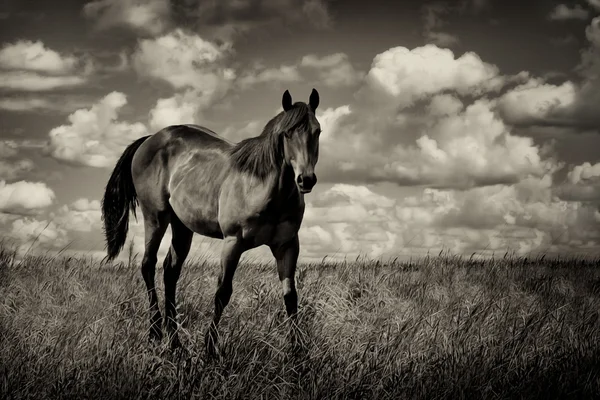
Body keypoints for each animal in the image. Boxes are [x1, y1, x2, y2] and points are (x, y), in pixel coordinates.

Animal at [101, 88, 322, 354]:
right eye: (287, 133)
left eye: (317, 131)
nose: (306, 180)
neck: (263, 188)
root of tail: (150, 139)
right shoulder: (233, 242)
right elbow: (222, 292)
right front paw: (209, 348)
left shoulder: (287, 245)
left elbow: (290, 295)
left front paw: (298, 350)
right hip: (155, 216)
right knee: (147, 265)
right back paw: (155, 332)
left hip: (182, 226)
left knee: (170, 272)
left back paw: (175, 342)